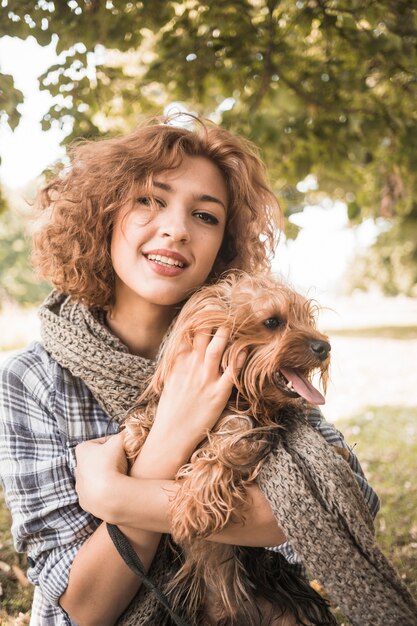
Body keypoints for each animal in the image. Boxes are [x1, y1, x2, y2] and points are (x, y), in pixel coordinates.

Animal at [122, 272, 334, 624]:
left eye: (307, 319)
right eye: (272, 321)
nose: (325, 346)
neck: (238, 394)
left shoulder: (256, 433)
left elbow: (228, 448)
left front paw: (192, 510)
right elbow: (146, 418)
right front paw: (135, 439)